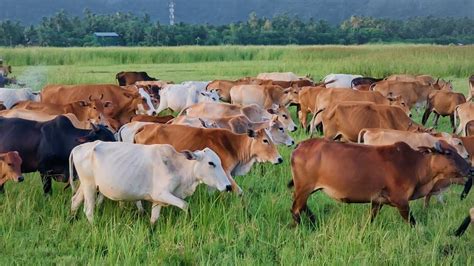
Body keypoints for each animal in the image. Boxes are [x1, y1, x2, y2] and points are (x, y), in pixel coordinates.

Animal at [69, 141, 231, 224]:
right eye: (211, 163)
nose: (228, 186)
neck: (177, 166)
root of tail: (79, 147)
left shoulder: (158, 199)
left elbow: (154, 219)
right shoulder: (162, 194)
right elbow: (185, 205)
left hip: (85, 185)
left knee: (75, 201)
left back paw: (71, 219)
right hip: (89, 186)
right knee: (88, 210)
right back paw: (94, 227)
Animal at [133, 124, 282, 193]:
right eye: (265, 140)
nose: (280, 159)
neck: (232, 145)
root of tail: (145, 126)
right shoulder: (225, 172)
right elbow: (239, 192)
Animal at [288, 138, 474, 225]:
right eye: (448, 153)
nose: (470, 168)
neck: (414, 164)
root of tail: (301, 145)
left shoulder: (377, 201)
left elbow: (371, 218)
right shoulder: (401, 201)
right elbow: (413, 222)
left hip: (305, 190)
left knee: (303, 207)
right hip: (304, 188)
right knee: (296, 210)